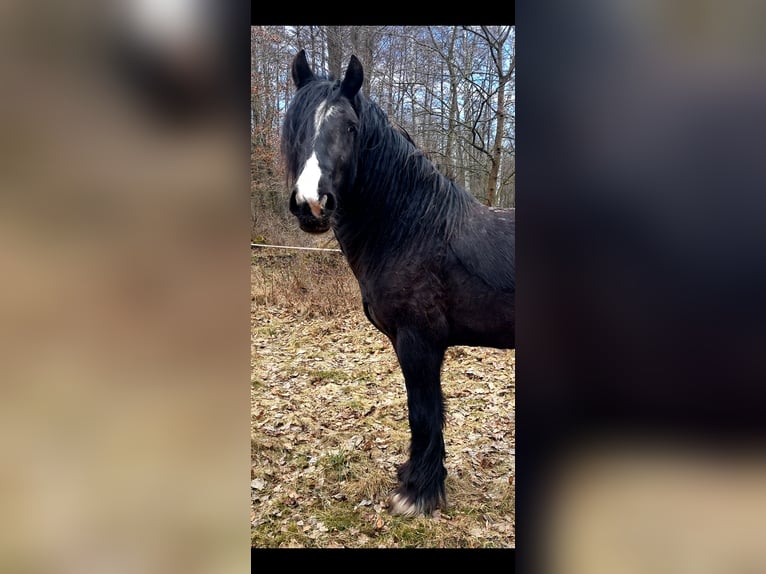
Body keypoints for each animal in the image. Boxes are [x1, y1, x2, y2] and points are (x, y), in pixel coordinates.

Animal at [281, 49, 515, 516]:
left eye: (350, 128)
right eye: (295, 123)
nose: (312, 204)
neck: (414, 231)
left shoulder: (418, 341)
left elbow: (423, 412)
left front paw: (418, 494)